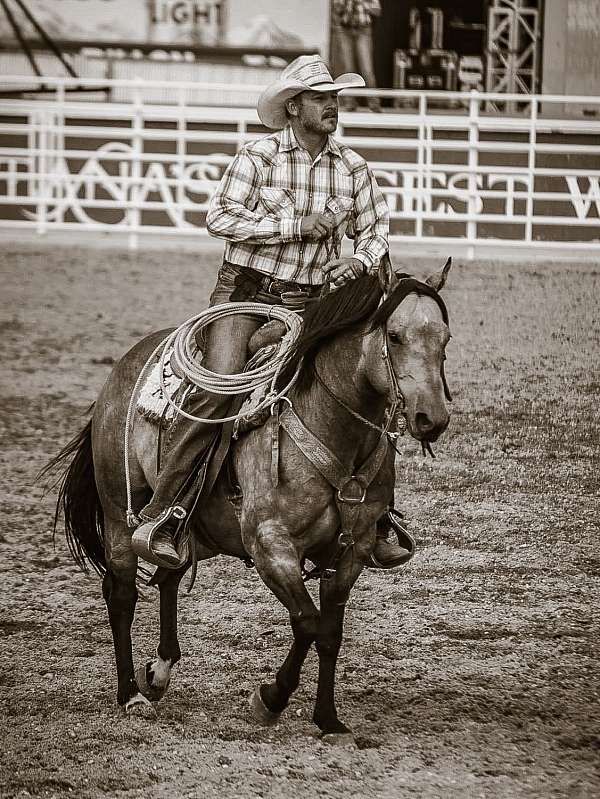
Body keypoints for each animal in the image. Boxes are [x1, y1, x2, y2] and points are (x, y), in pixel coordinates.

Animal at [46, 257, 452, 745]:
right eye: (395, 336)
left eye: (445, 339)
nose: (432, 419)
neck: (330, 423)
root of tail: (123, 366)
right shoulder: (270, 545)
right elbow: (307, 622)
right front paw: (270, 699)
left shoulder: (351, 552)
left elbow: (330, 633)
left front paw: (329, 720)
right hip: (118, 515)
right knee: (121, 593)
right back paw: (131, 695)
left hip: (192, 529)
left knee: (168, 575)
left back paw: (159, 672)